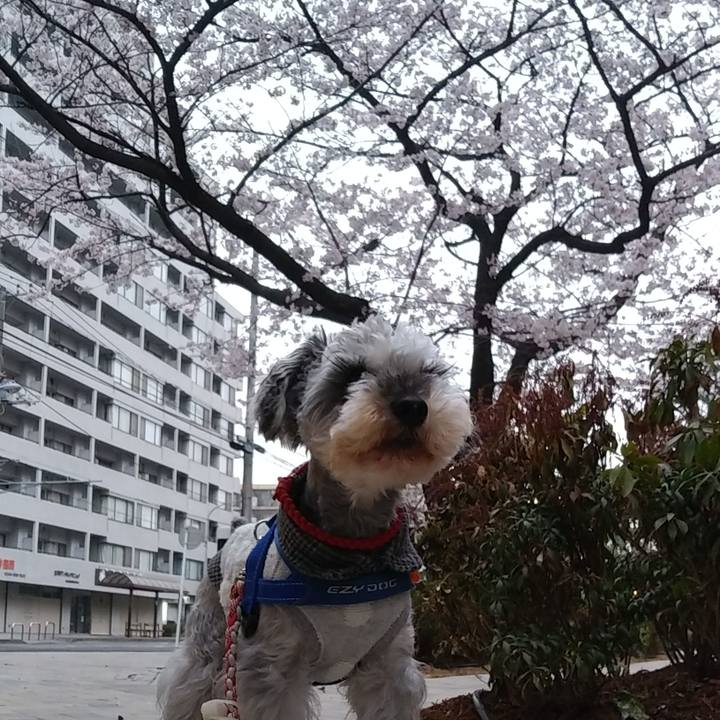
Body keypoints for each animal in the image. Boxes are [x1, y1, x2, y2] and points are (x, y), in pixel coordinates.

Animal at [157, 316, 472, 720]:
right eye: (352, 373)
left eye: (430, 372)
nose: (414, 405)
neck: (352, 549)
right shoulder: (272, 669)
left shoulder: (391, 663)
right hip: (210, 643)